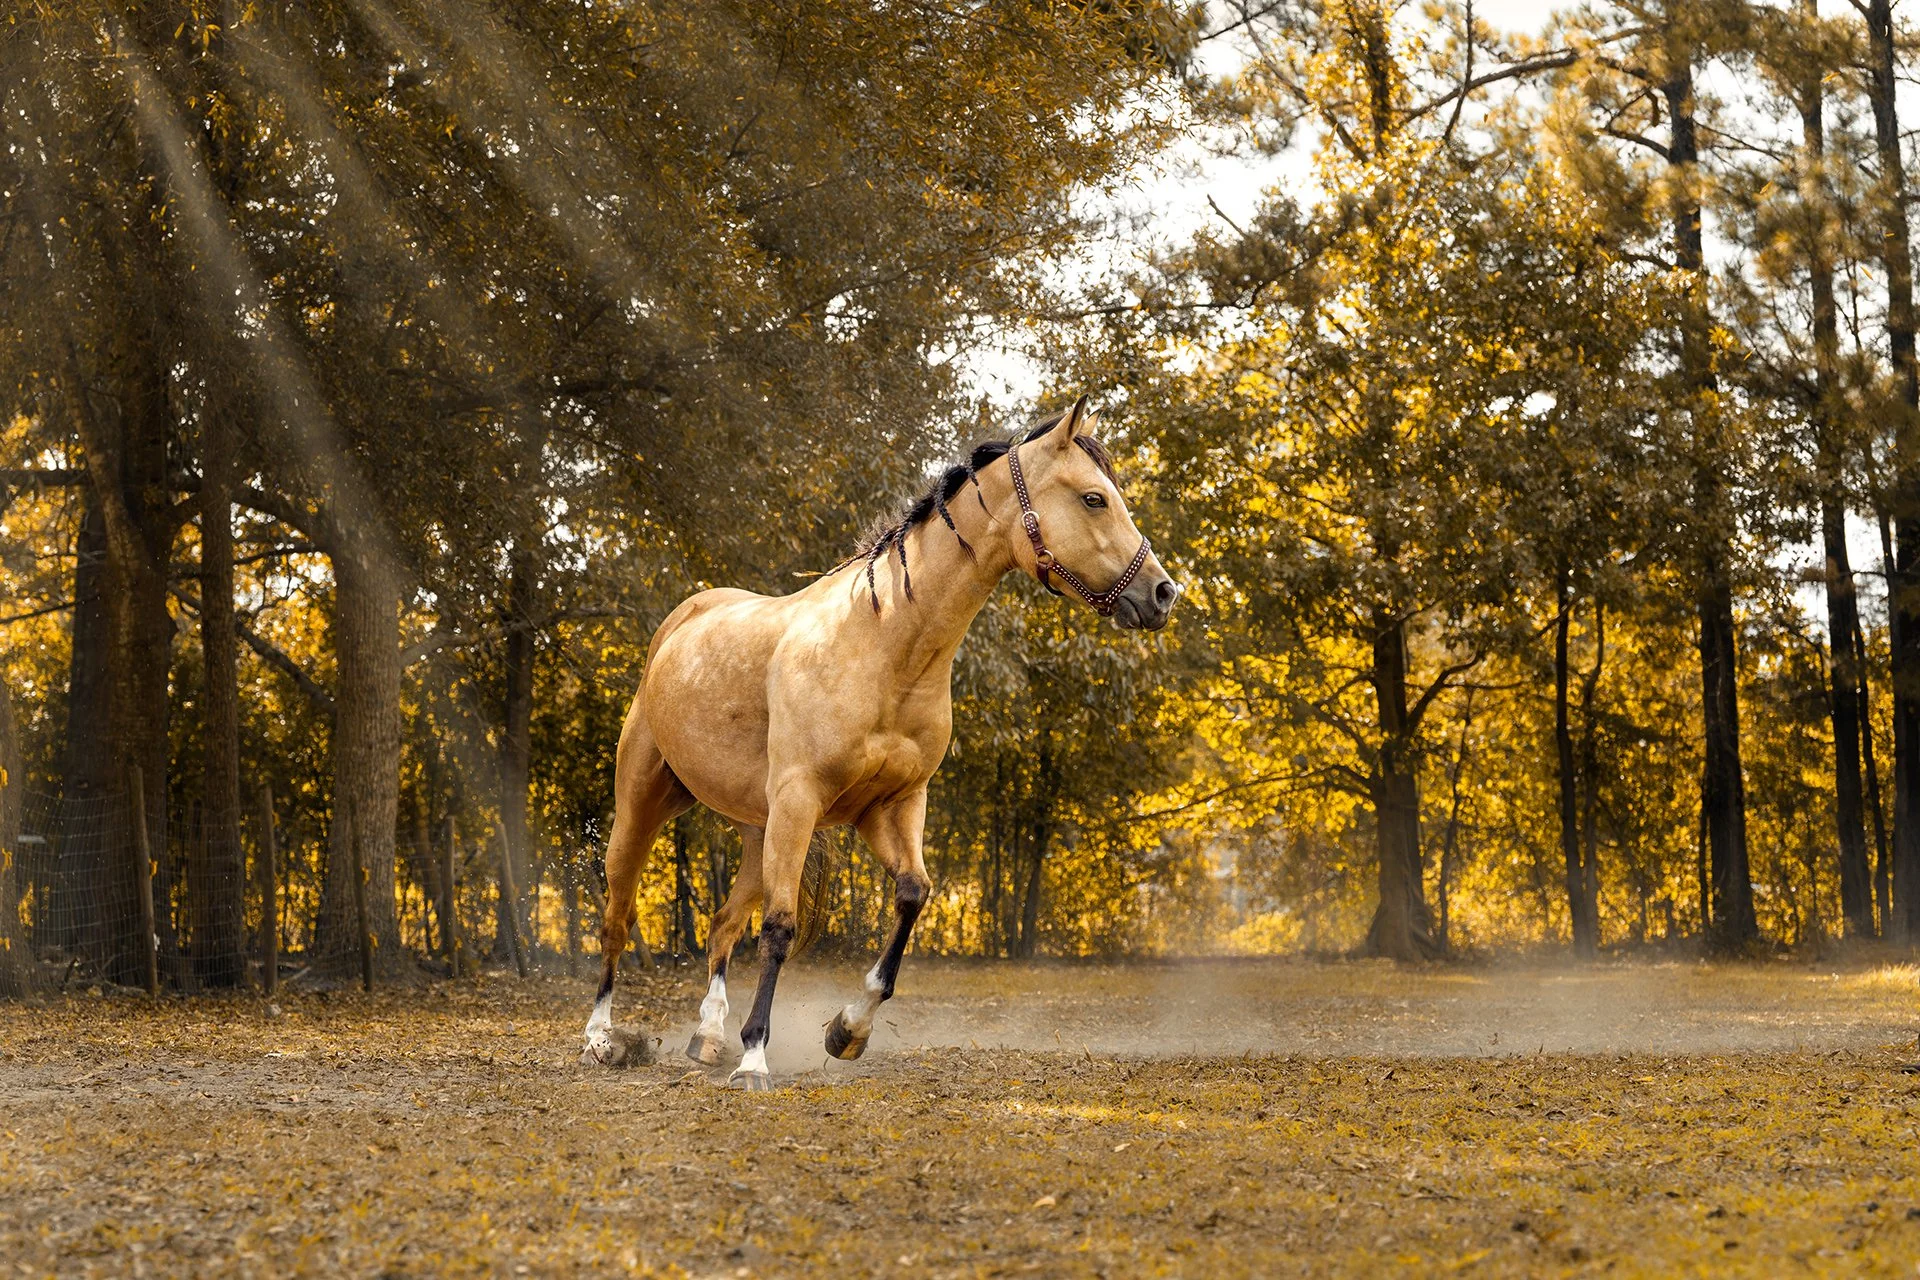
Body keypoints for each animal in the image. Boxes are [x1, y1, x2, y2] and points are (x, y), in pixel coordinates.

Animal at [581, 396, 1179, 1087]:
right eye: (1093, 499)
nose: (1163, 592)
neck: (884, 644)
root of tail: (680, 623)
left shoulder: (891, 805)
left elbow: (913, 894)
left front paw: (848, 1029)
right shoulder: (801, 802)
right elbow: (780, 929)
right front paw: (756, 1058)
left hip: (757, 830)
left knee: (723, 924)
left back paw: (707, 1036)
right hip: (645, 806)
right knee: (617, 916)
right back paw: (601, 1038)